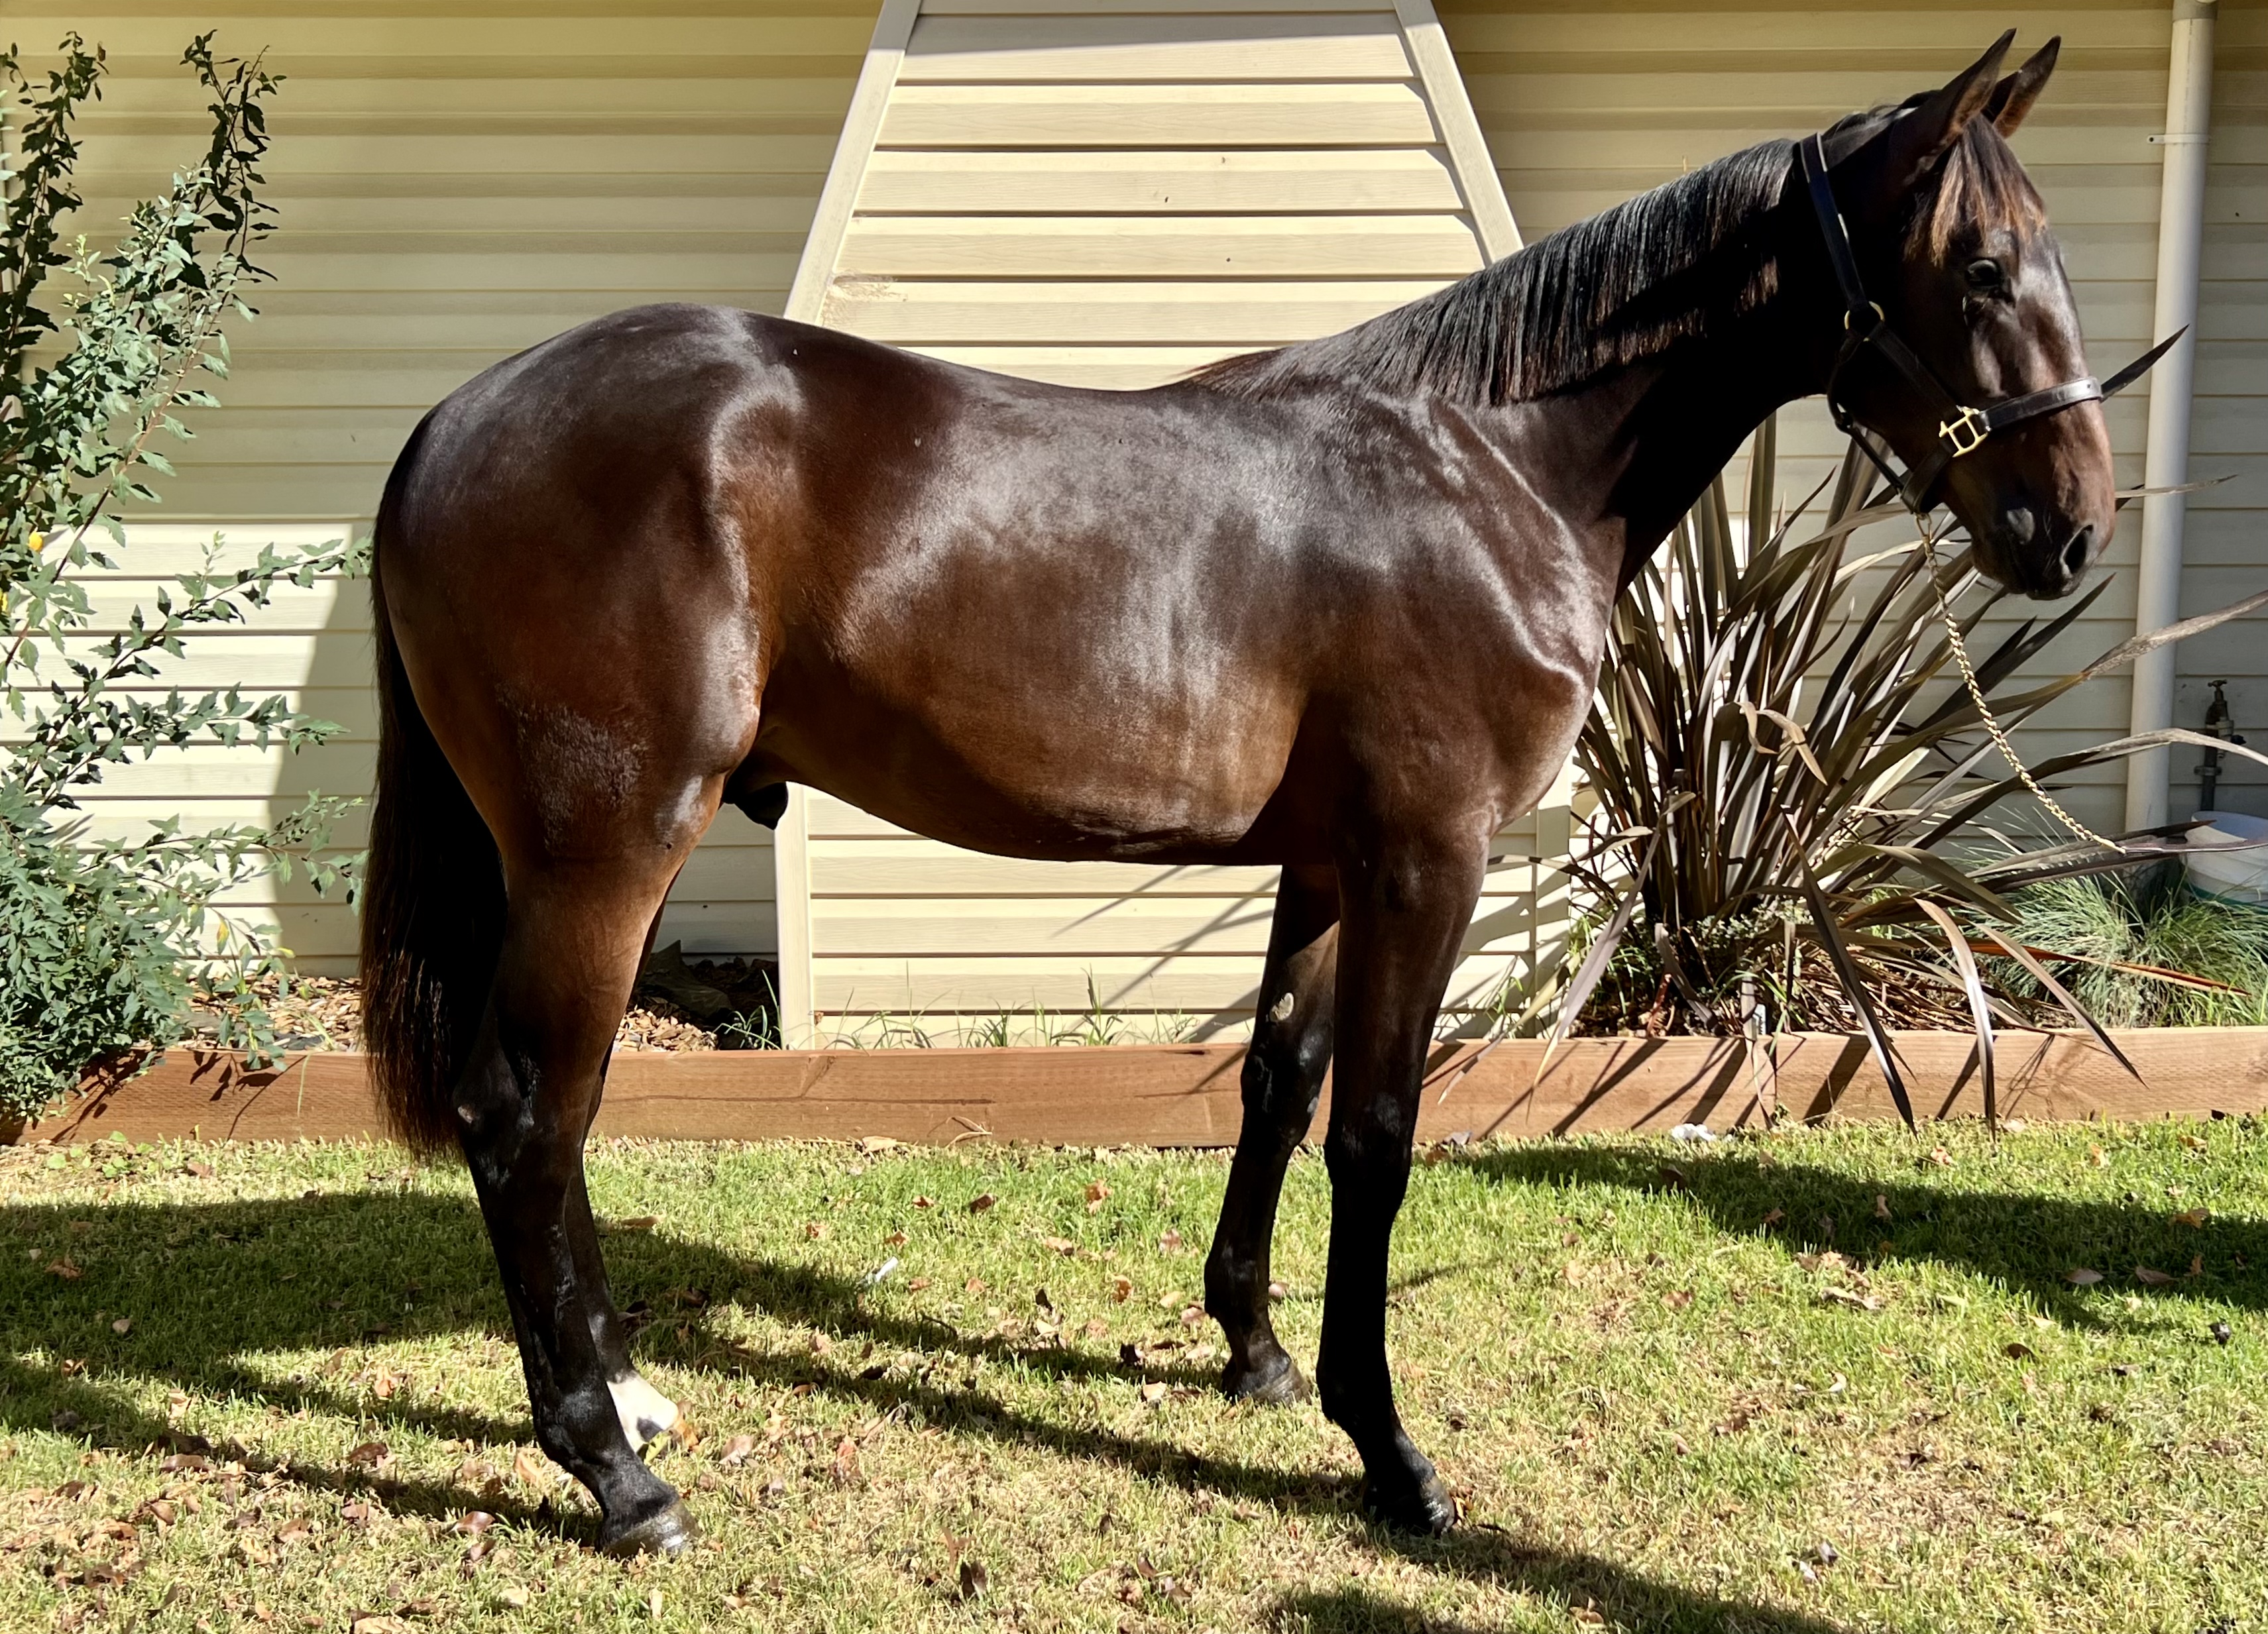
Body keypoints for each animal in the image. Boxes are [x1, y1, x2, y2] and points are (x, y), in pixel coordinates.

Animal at [361, 34, 2115, 1553]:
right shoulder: (1426, 859)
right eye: (1977, 268)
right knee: (523, 1112)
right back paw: (610, 1469)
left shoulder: (1328, 865)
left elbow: (1278, 1081)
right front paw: (1388, 1450)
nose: (2071, 525)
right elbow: (1378, 1135)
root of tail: (450, 421)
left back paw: (632, 1401)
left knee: (559, 1112)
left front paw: (1255, 1355)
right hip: (604, 849)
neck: (1487, 469)